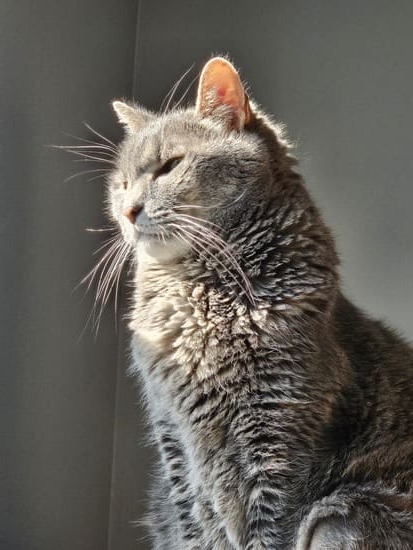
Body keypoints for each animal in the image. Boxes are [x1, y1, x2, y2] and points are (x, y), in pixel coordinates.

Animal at [104, 58, 412, 548]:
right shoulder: (174, 445)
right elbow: (194, 527)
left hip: (343, 512)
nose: (128, 210)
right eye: (122, 183)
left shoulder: (281, 442)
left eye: (169, 166)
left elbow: (268, 530)